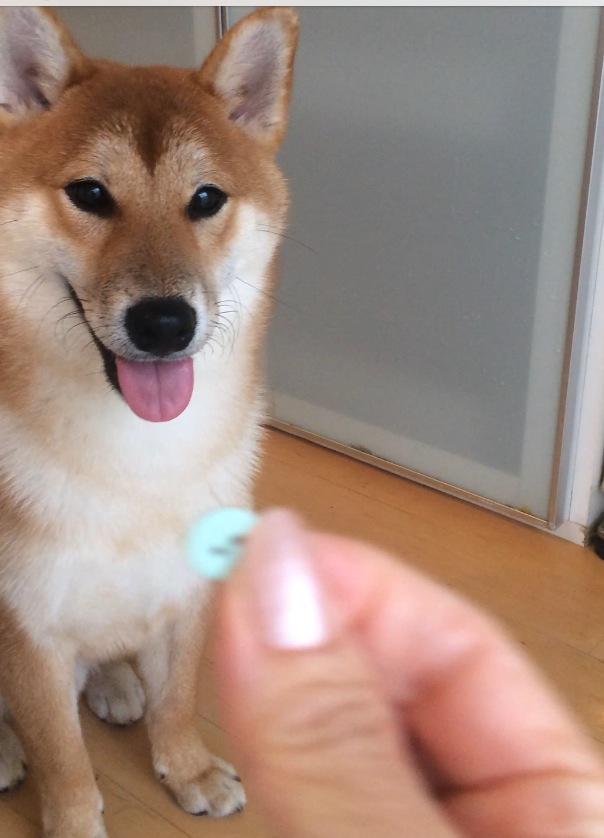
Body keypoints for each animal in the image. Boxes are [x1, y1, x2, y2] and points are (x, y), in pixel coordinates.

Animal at [0, 7, 298, 836]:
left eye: (206, 199)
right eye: (90, 193)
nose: (164, 322)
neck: (138, 462)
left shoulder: (186, 590)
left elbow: (178, 699)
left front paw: (187, 768)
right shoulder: (25, 627)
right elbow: (62, 754)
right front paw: (73, 824)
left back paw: (113, 684)